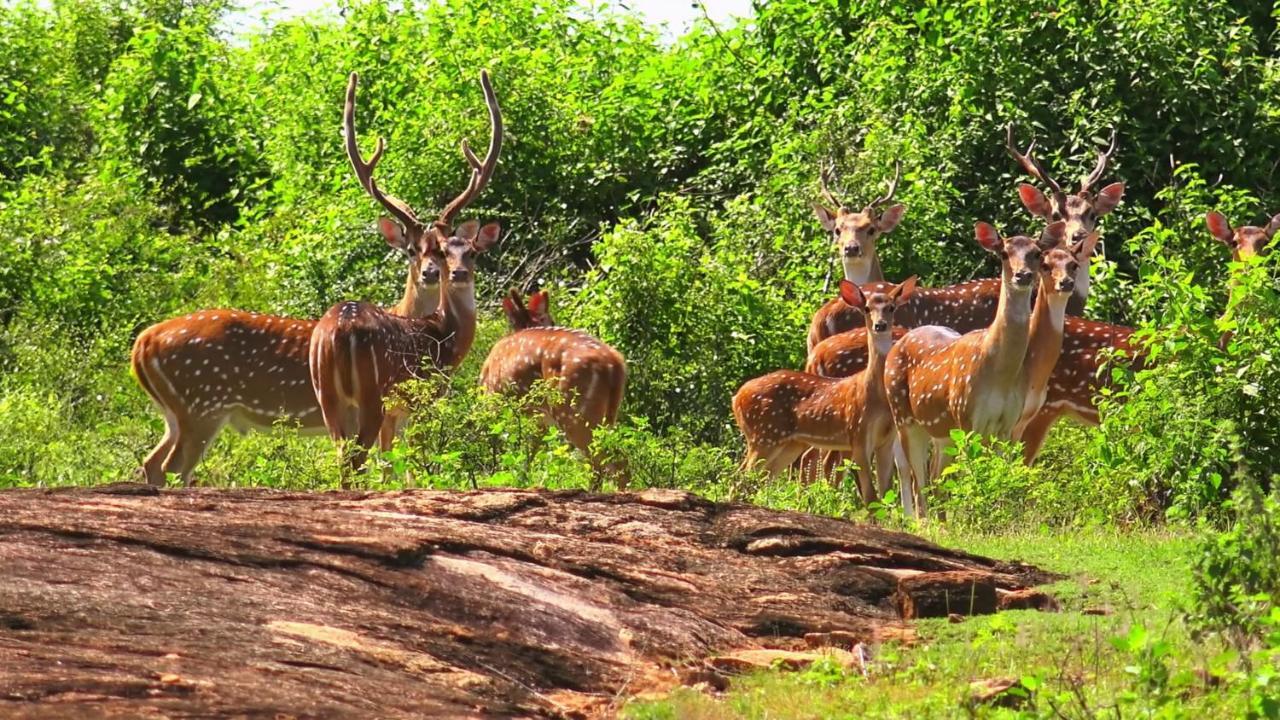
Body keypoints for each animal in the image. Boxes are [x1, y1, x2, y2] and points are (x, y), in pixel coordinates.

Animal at [125, 71, 445, 481]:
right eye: (411, 250)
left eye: (442, 247)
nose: (431, 273)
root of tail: (141, 344)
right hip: (202, 403)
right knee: (173, 466)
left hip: (175, 413)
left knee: (151, 461)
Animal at [311, 68, 504, 471]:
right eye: (417, 251)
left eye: (460, 252)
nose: (442, 273)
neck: (443, 335)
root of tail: (340, 331)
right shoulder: (421, 400)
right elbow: (416, 464)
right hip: (373, 395)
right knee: (355, 459)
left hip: (328, 398)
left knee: (342, 457)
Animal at [478, 286, 627, 481]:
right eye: (552, 319)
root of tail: (614, 364)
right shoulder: (539, 421)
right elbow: (530, 452)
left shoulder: (493, 404)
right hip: (607, 415)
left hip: (573, 410)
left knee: (606, 462)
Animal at [732, 275, 921, 499]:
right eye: (866, 308)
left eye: (891, 307)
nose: (880, 325)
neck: (875, 394)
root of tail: (736, 398)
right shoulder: (858, 434)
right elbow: (869, 495)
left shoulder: (885, 439)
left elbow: (885, 493)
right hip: (763, 435)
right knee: (740, 478)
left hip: (788, 443)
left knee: (762, 478)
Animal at [880, 220, 1070, 515]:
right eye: (1003, 253)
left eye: (1037, 253)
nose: (1023, 275)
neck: (1000, 374)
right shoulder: (968, 416)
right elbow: (969, 476)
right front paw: (970, 514)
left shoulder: (1007, 424)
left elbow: (999, 475)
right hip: (903, 415)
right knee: (918, 481)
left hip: (942, 430)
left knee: (934, 478)